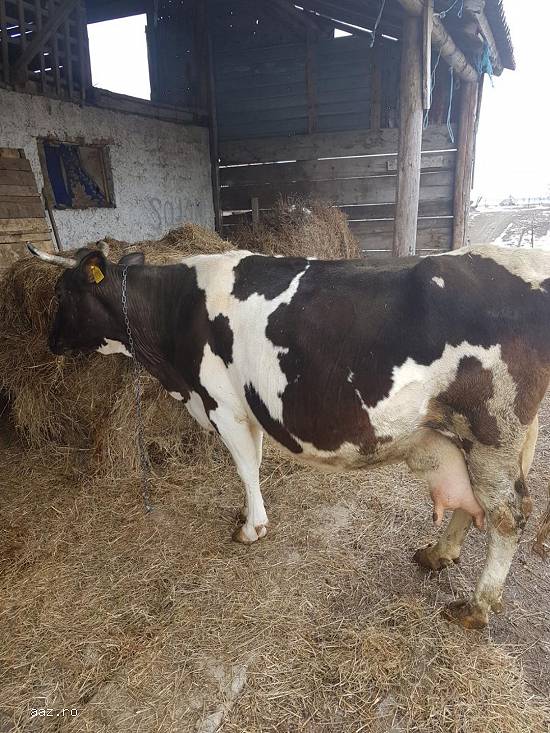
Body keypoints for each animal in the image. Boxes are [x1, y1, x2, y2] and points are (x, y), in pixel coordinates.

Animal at [27, 242, 550, 629]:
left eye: (60, 294)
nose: (48, 342)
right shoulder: (246, 408)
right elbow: (255, 462)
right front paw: (250, 514)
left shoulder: (222, 403)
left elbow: (243, 466)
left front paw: (251, 527)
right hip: (476, 436)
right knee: (474, 503)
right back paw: (438, 553)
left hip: (492, 427)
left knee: (507, 515)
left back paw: (476, 608)